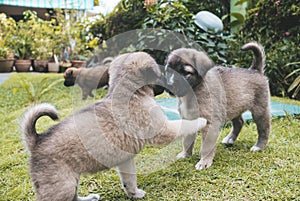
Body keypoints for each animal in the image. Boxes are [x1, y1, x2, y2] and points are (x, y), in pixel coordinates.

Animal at [22, 52, 207, 201]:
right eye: (159, 73)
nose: (169, 87)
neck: (130, 92)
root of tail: (36, 141)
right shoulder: (162, 131)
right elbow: (183, 124)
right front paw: (201, 121)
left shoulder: (126, 158)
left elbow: (129, 180)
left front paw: (134, 194)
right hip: (61, 186)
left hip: (70, 181)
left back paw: (90, 198)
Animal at [164, 42, 272, 170]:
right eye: (169, 70)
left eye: (186, 73)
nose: (169, 86)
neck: (193, 92)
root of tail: (255, 70)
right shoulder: (189, 119)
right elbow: (187, 140)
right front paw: (186, 154)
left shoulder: (210, 122)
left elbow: (206, 146)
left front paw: (204, 162)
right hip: (233, 106)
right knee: (239, 122)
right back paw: (230, 139)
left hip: (260, 110)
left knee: (264, 129)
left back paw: (259, 146)